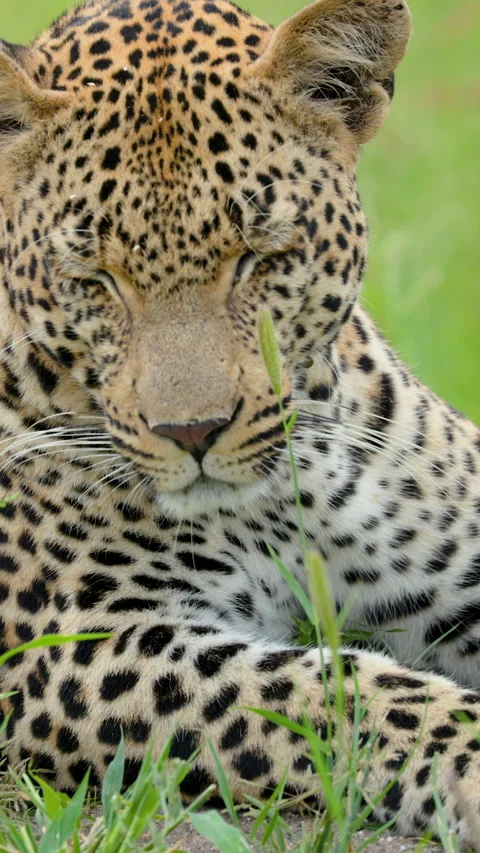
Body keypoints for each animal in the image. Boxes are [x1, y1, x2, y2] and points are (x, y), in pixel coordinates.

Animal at [0, 0, 480, 843]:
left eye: (259, 258)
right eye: (94, 278)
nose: (192, 433)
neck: (283, 493)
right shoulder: (76, 646)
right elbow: (343, 693)